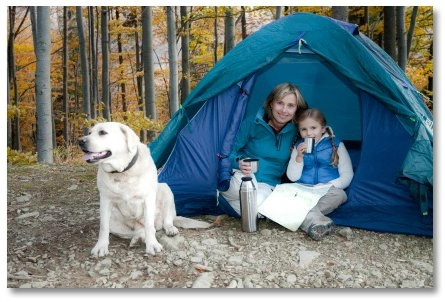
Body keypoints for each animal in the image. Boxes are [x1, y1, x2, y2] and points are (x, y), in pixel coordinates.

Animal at [78, 122, 212, 258]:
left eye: (102, 132)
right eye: (89, 133)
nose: (80, 141)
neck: (122, 172)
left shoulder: (148, 199)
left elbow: (149, 225)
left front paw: (152, 245)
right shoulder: (105, 200)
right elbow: (103, 227)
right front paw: (100, 246)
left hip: (165, 189)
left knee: (162, 223)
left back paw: (169, 229)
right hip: (115, 223)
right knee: (139, 231)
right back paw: (137, 239)